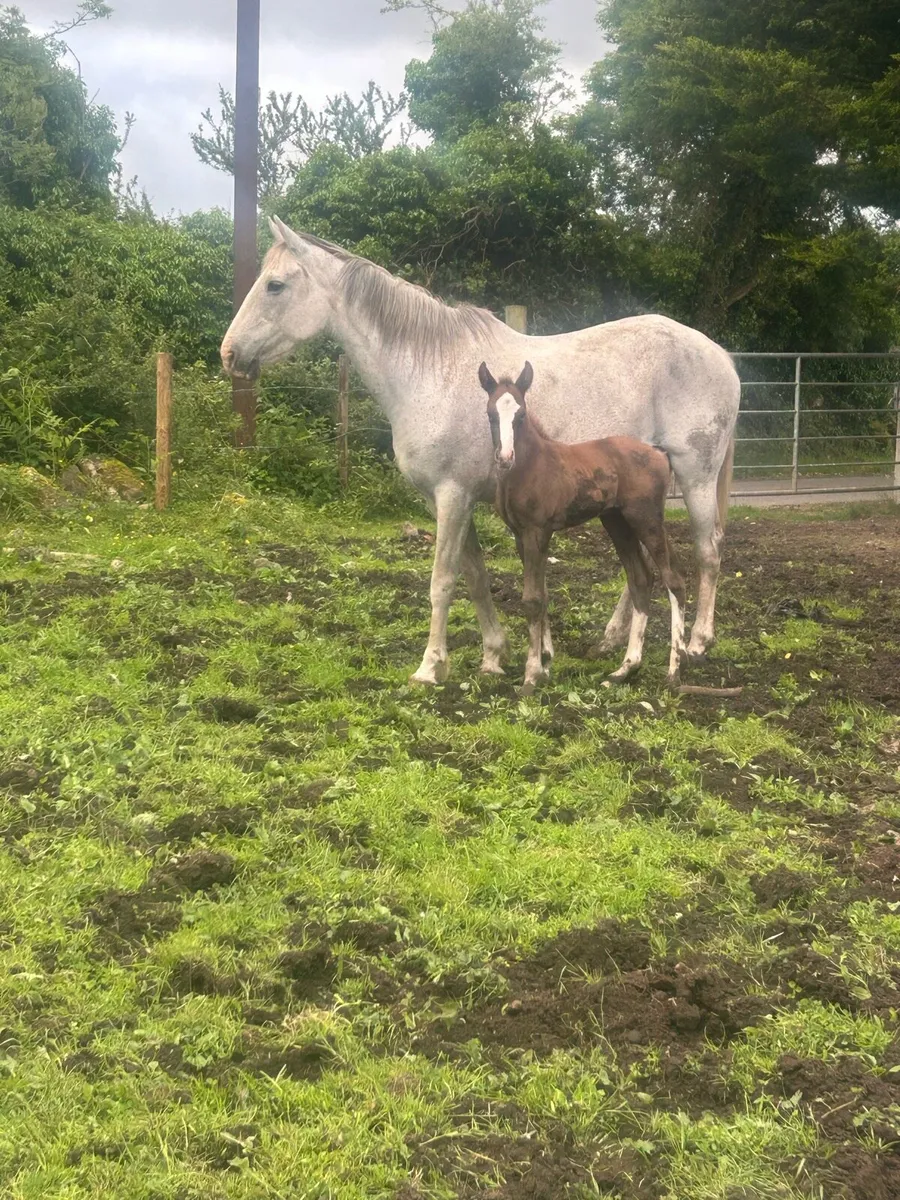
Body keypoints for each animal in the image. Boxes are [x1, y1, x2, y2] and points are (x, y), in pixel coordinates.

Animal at [481, 360, 687, 692]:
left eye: (520, 415)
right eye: (490, 414)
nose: (504, 458)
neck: (527, 469)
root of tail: (659, 453)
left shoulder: (537, 531)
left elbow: (532, 599)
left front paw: (531, 675)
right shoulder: (520, 536)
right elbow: (542, 594)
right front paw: (546, 662)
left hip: (646, 519)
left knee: (673, 580)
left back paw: (673, 672)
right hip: (617, 521)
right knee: (641, 578)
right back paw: (626, 668)